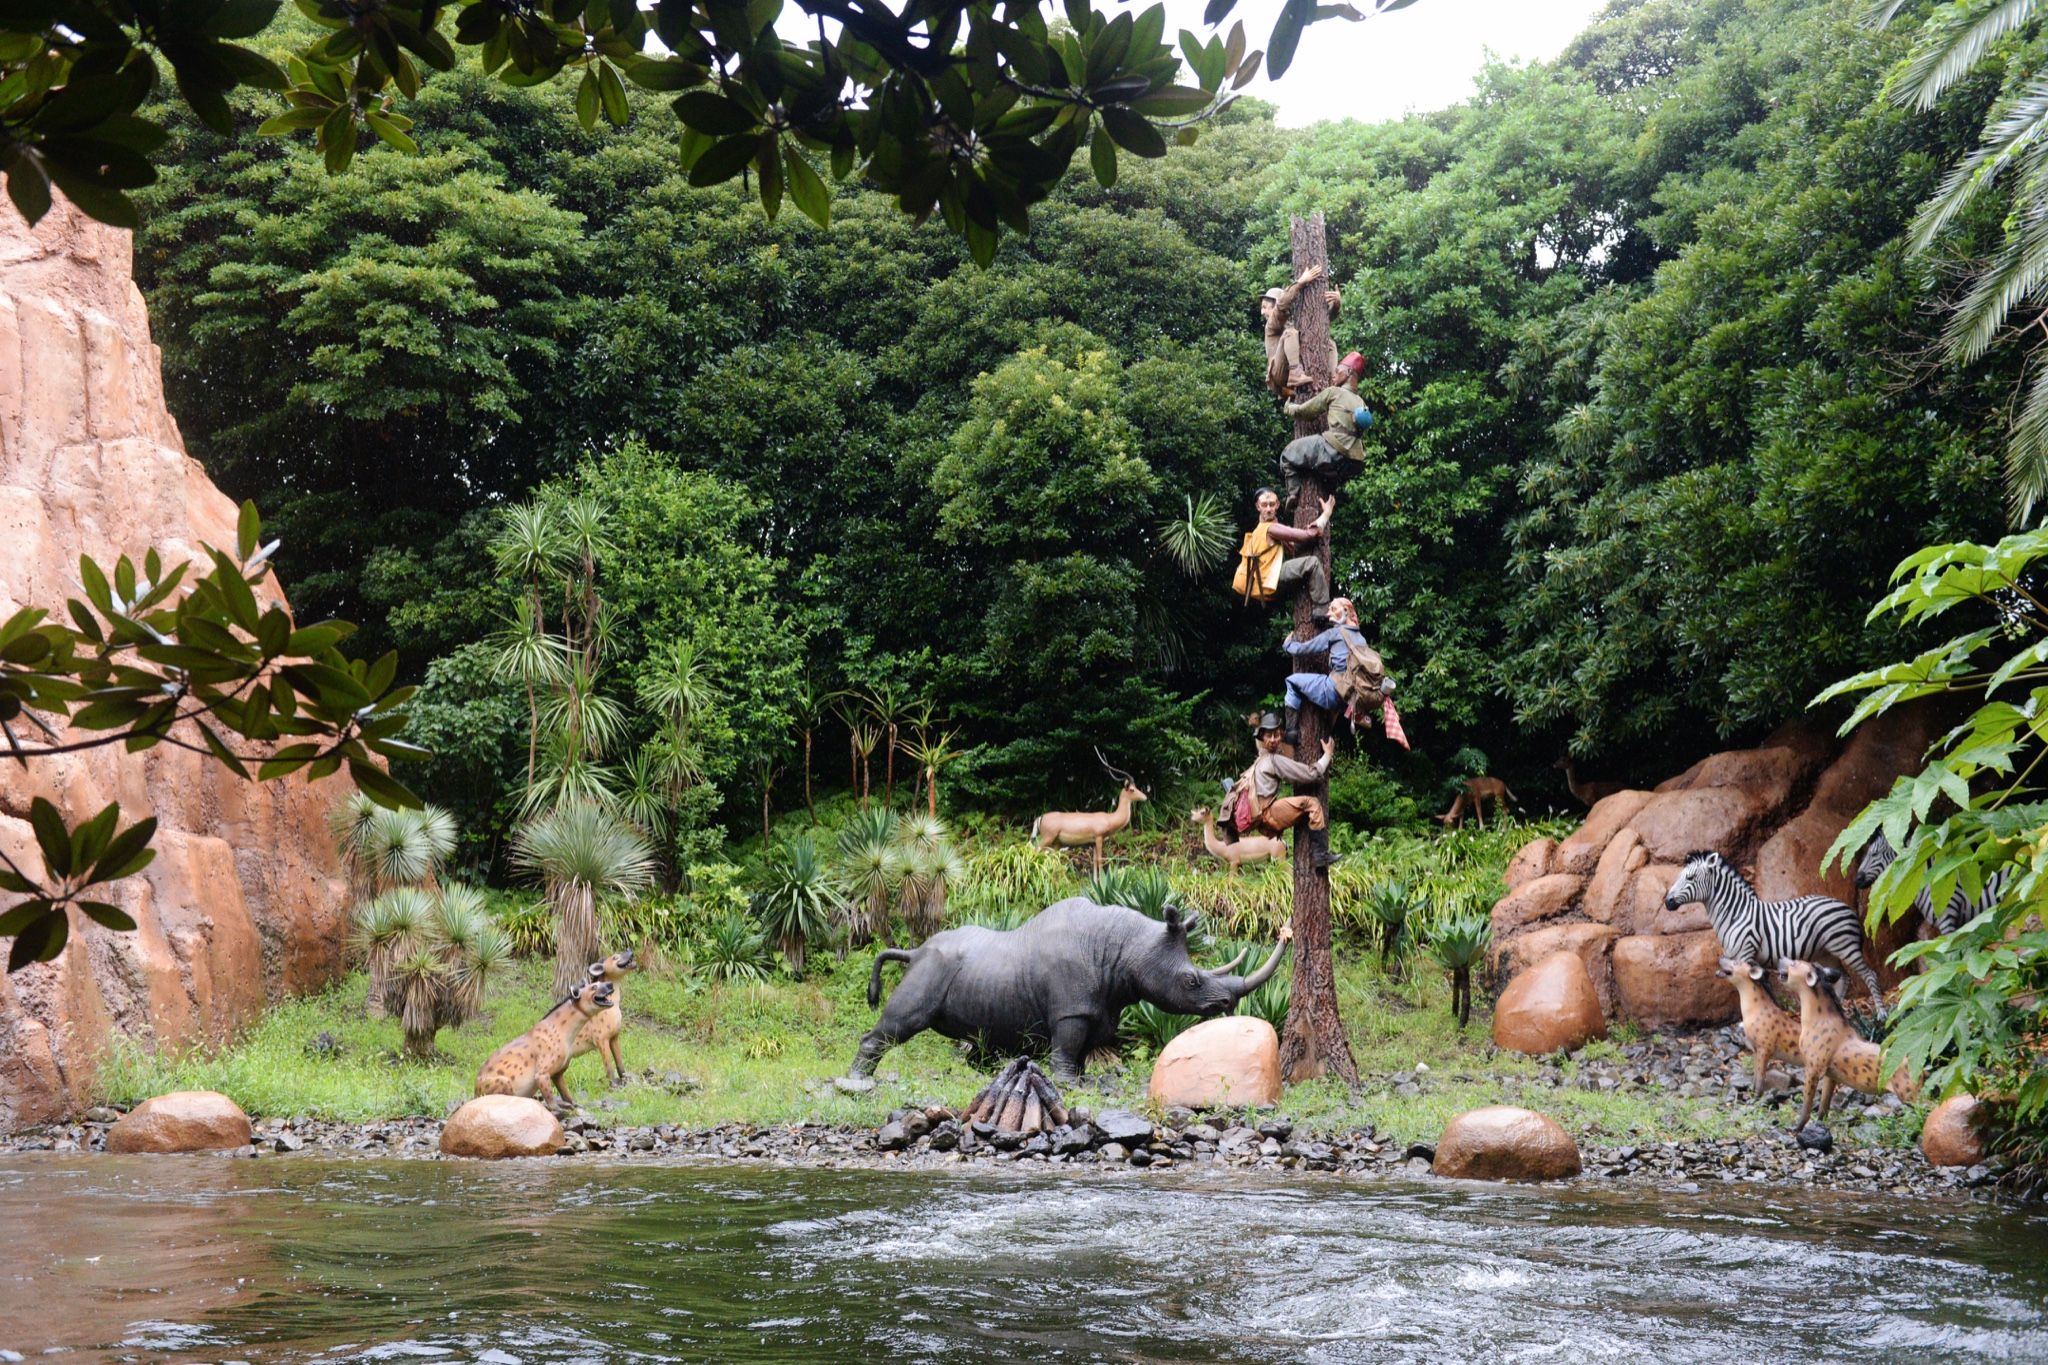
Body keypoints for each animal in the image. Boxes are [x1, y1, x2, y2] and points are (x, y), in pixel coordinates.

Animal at [1654, 847, 1875, 1019]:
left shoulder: (1745, 954)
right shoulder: (1743, 958)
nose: (1667, 902)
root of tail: (1847, 907)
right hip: (1826, 952)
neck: (1735, 912)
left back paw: (1879, 1016)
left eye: (1690, 878)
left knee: (1869, 974)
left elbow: (1749, 988)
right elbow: (1764, 988)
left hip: (1845, 947)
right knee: (1843, 977)